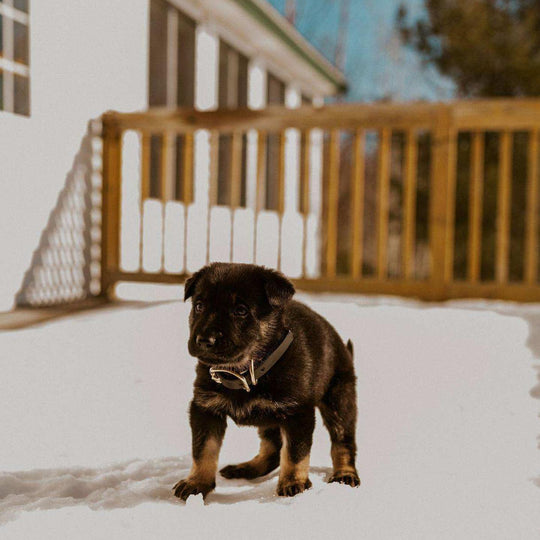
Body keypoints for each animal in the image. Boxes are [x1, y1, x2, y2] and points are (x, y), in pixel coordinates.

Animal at [173, 264, 358, 500]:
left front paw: (293, 482)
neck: (245, 370)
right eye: (199, 306)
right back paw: (246, 468)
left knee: (343, 441)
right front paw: (197, 483)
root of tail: (342, 347)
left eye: (241, 310)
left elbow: (295, 453)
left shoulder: (297, 413)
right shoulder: (205, 409)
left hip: (339, 400)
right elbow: (203, 449)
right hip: (269, 418)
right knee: (273, 447)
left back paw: (345, 473)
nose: (205, 340)